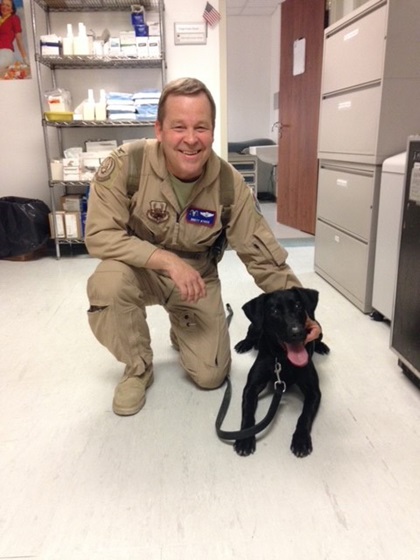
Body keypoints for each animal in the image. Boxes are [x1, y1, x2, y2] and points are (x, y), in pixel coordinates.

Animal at [233, 288, 328, 460]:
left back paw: (322, 346)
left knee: (319, 337)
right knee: (251, 334)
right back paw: (245, 344)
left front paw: (301, 440)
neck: (282, 359)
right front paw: (245, 438)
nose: (297, 332)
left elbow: (304, 416)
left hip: (318, 327)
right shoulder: (251, 387)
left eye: (298, 306)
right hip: (255, 326)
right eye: (274, 311)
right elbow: (248, 411)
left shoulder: (314, 392)